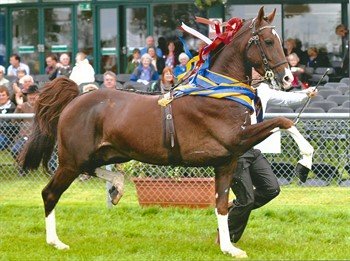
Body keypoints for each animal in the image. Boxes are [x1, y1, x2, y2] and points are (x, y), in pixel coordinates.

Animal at [21, 7, 294, 256]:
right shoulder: (236, 141)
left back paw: (117, 187)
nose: (288, 79)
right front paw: (303, 154)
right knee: (50, 193)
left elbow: (222, 205)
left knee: (91, 172)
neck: (219, 92)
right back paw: (56, 242)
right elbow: (283, 121)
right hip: (71, 161)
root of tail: (75, 99)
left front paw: (228, 248)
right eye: (268, 41)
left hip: (105, 153)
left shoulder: (227, 161)